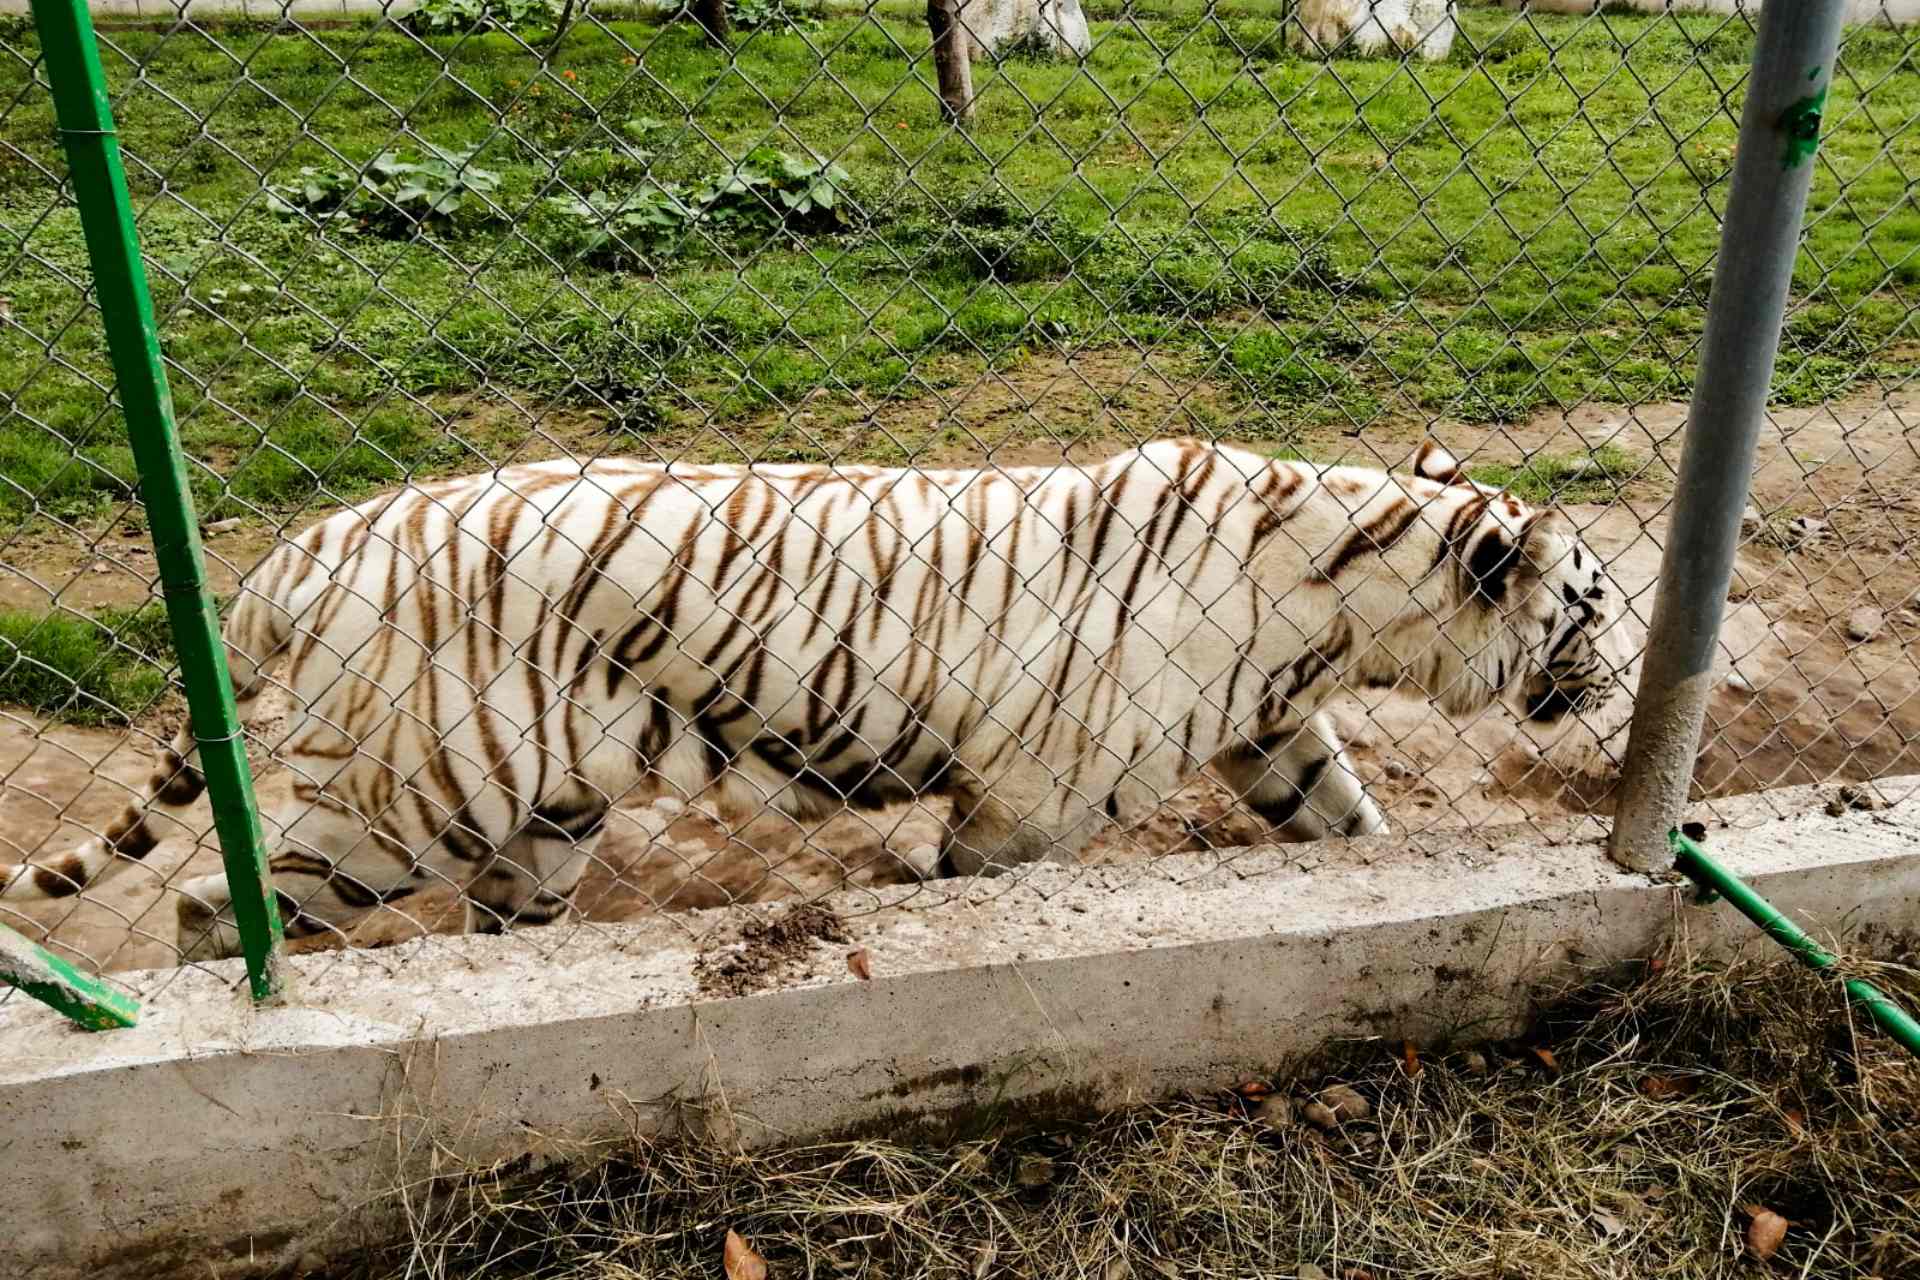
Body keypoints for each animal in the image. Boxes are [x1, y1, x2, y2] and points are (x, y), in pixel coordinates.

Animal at [0, 438, 1629, 961]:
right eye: (1599, 602)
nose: (1622, 674)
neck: (1342, 604)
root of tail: (307, 543)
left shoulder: (1270, 729)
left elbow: (1346, 827)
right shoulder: (1031, 797)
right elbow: (974, 886)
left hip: (542, 815)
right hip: (412, 797)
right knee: (214, 905)